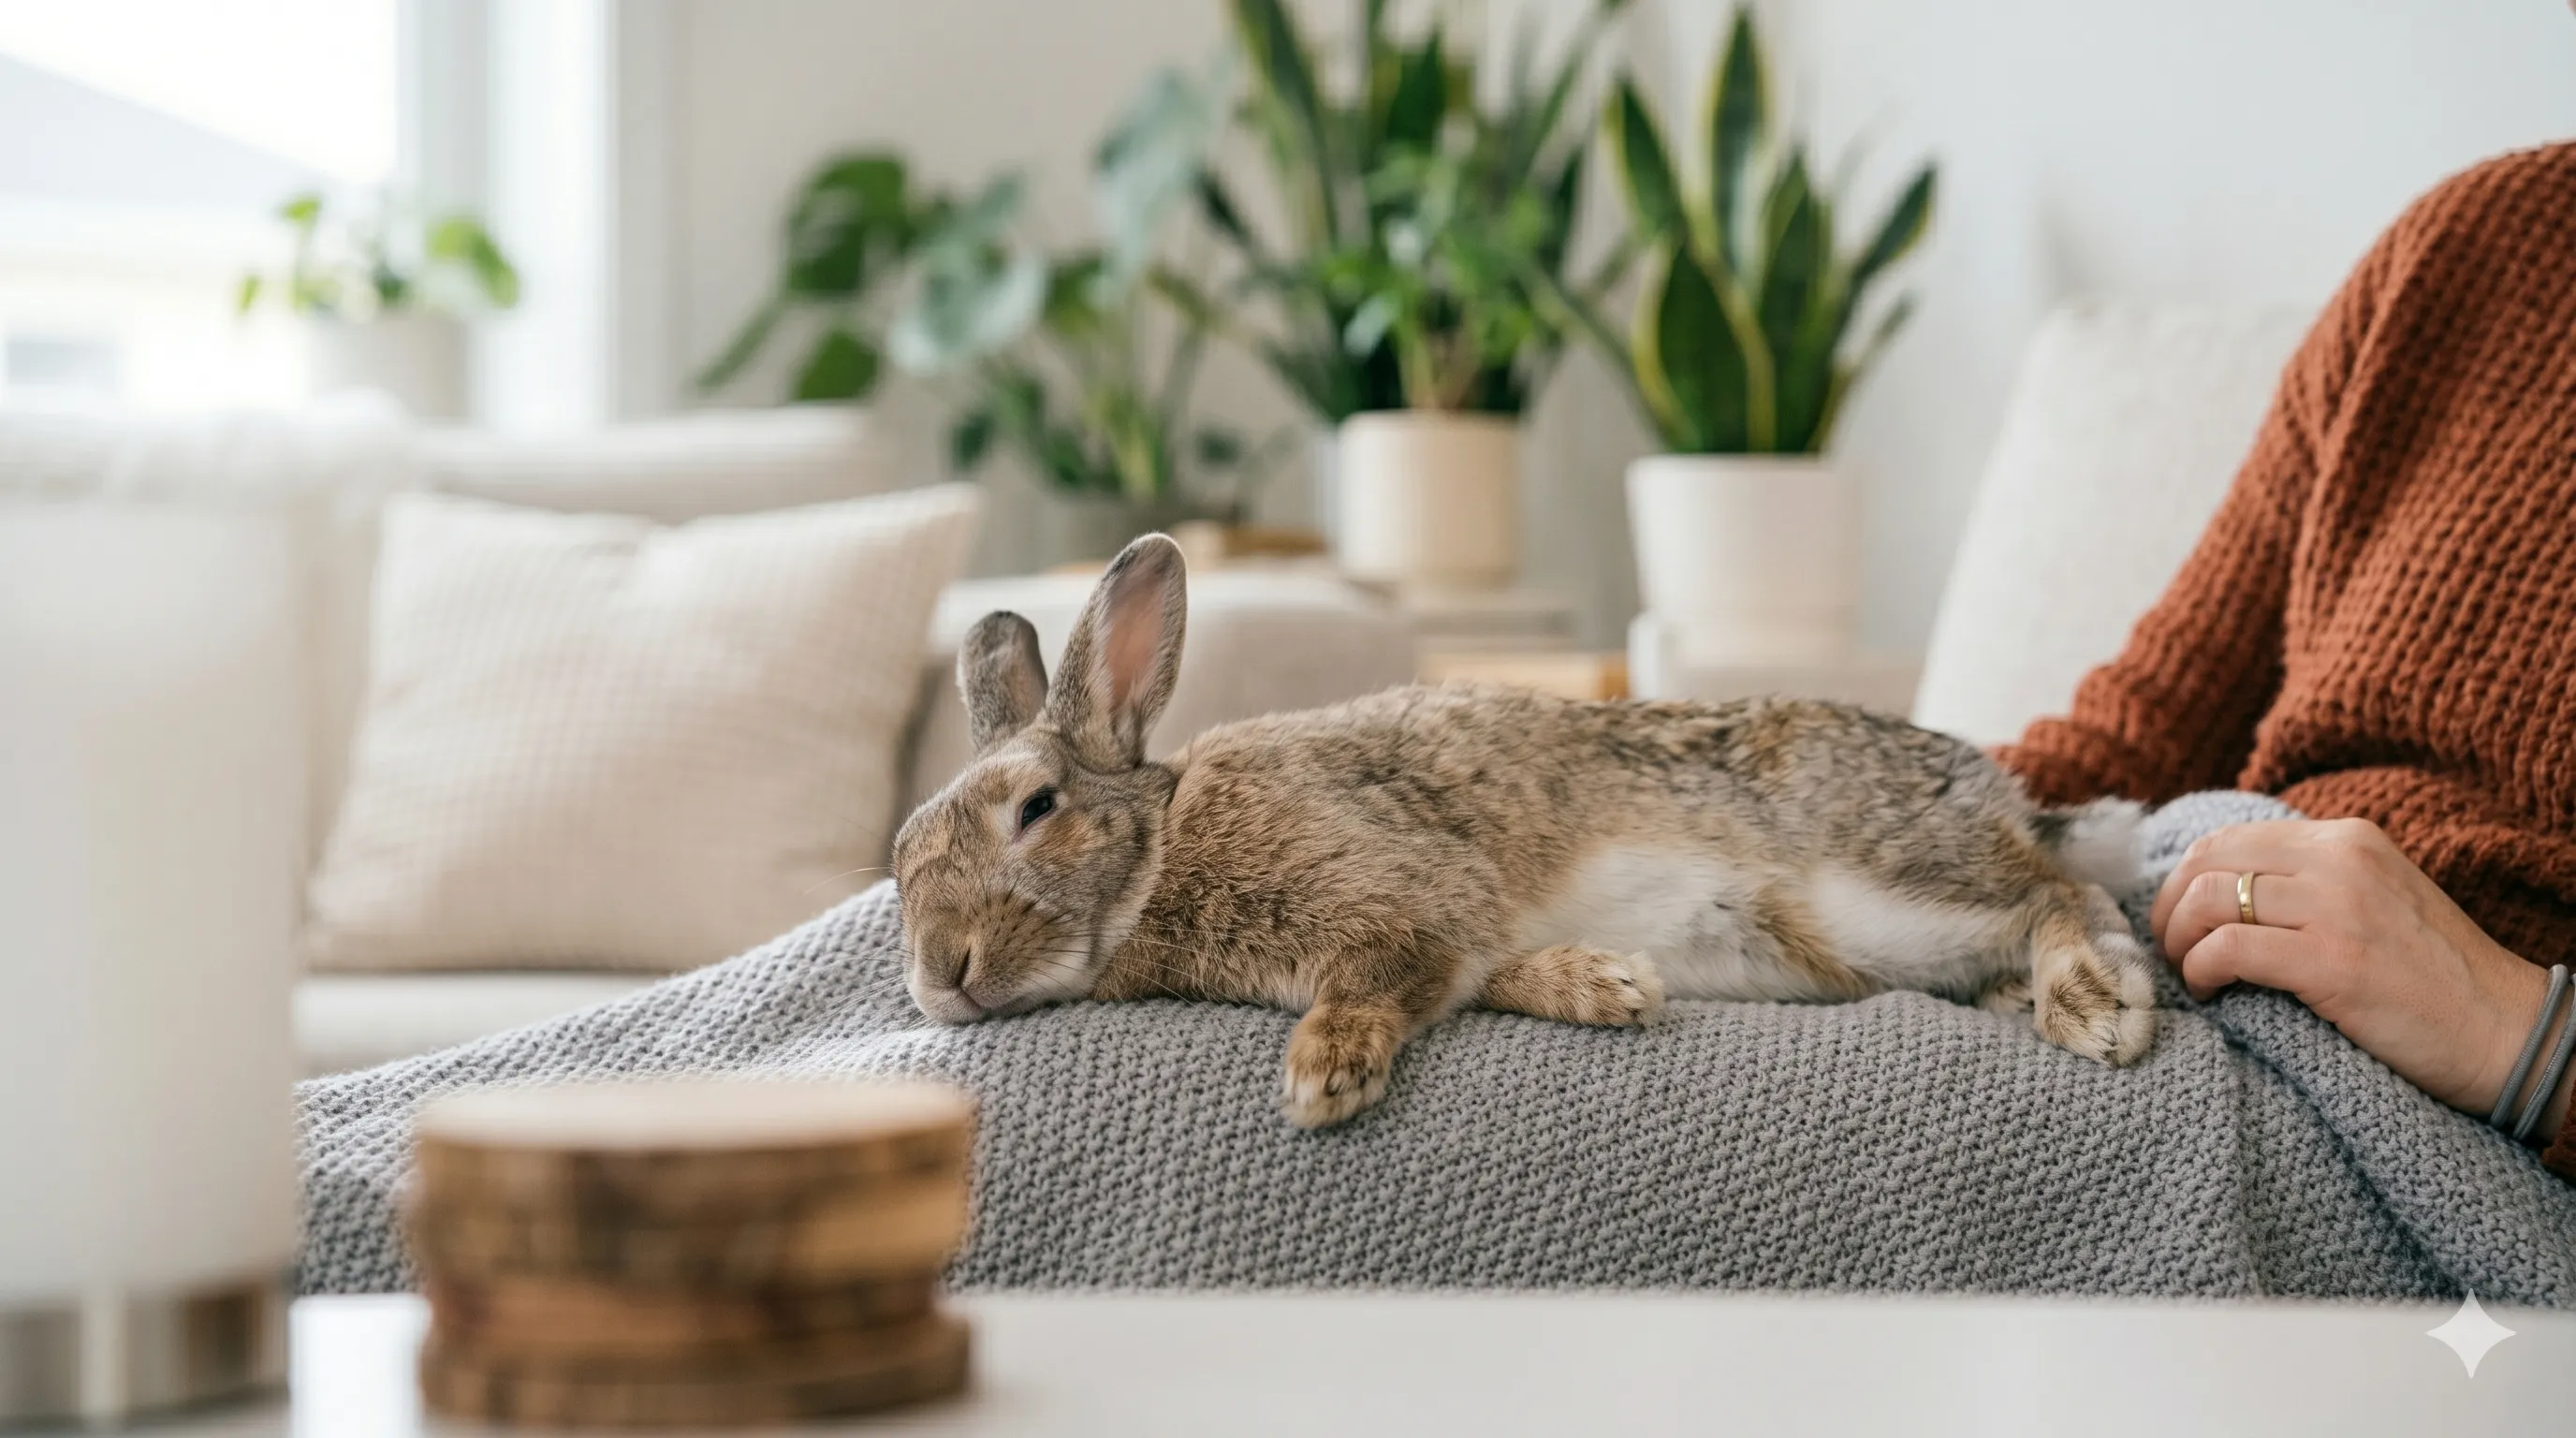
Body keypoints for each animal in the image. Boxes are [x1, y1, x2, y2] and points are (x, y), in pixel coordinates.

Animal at [891, 533, 2157, 1129]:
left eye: (1036, 810)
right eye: (900, 862)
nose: (941, 975)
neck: (1161, 851)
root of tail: (1993, 794)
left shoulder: (1399, 902)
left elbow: (1370, 982)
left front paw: (1322, 1077)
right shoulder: (1464, 936)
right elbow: (1487, 976)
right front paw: (1609, 986)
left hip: (1880, 894)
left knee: (2060, 894)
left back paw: (2095, 1001)